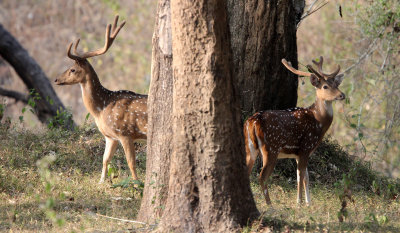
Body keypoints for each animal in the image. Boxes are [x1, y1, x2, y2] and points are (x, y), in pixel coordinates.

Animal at [54, 15, 146, 184]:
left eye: (73, 69)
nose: (56, 79)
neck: (101, 108)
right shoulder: (110, 136)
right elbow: (105, 159)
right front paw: (101, 181)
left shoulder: (124, 132)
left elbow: (131, 162)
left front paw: (136, 184)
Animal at [245, 57, 346, 206]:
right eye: (325, 86)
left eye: (336, 84)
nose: (342, 95)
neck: (318, 122)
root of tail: (253, 122)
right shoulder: (306, 146)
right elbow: (301, 176)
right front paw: (299, 202)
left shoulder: (299, 153)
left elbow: (304, 177)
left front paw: (308, 203)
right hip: (271, 148)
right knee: (262, 176)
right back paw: (269, 204)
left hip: (250, 147)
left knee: (246, 171)